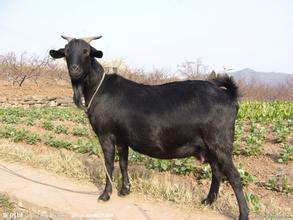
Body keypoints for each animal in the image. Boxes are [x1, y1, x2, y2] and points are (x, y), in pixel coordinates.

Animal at [50, 35, 249, 219]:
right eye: (66, 52)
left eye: (86, 51)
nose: (74, 70)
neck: (98, 89)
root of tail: (228, 96)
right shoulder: (122, 138)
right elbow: (123, 162)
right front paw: (125, 190)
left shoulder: (106, 135)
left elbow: (109, 164)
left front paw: (105, 195)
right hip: (210, 147)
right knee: (217, 172)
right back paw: (208, 201)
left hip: (220, 143)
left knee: (234, 176)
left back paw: (243, 213)